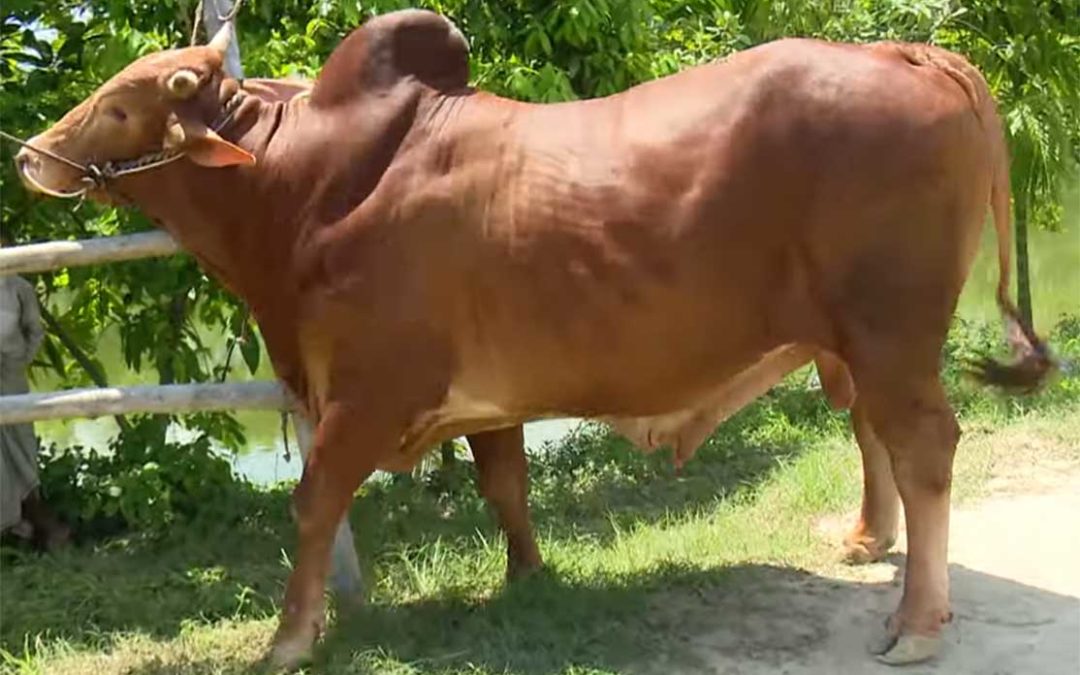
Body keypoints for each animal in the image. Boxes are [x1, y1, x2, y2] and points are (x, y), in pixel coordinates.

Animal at [12, 7, 1049, 665]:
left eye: (120, 104)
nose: (31, 156)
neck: (300, 182)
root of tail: (909, 53)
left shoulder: (367, 392)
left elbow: (313, 505)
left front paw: (290, 639)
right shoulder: (487, 397)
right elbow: (505, 483)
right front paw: (527, 577)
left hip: (891, 330)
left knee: (923, 447)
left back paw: (918, 622)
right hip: (857, 339)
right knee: (873, 429)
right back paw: (870, 544)